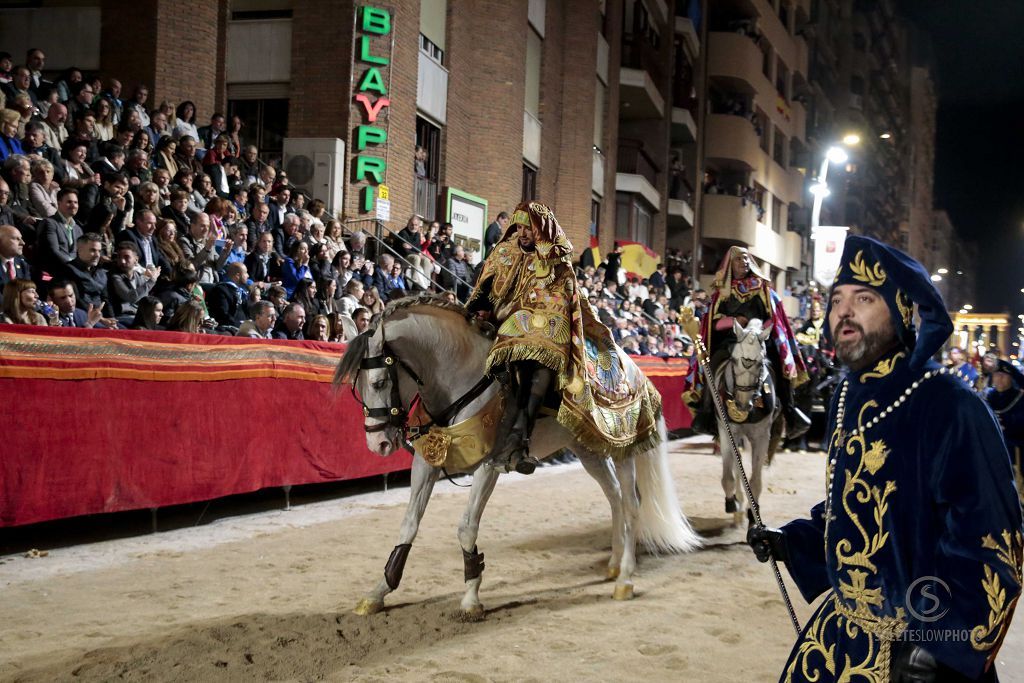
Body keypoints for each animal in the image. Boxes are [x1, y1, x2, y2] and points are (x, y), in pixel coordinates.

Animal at [337, 296, 704, 618]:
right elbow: (408, 525)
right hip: (588, 451)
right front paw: (379, 591)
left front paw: (471, 598)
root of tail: (634, 369)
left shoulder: (489, 465)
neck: (463, 378)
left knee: (630, 503)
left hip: (619, 447)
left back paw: (625, 578)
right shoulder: (427, 462)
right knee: (614, 497)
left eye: (379, 381)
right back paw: (614, 565)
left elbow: (466, 527)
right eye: (357, 386)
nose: (379, 444)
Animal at [716, 319, 778, 524]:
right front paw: (732, 503)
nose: (742, 405)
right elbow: (729, 476)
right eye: (734, 360)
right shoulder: (727, 432)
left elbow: (755, 480)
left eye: (759, 363)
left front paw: (753, 512)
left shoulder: (762, 436)